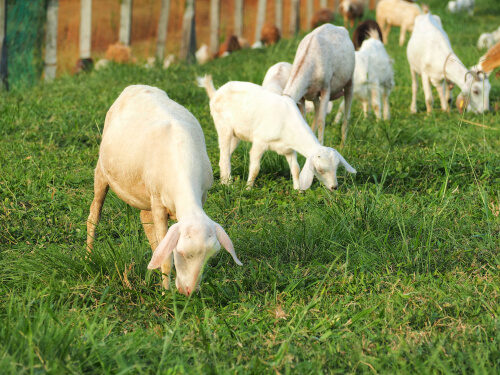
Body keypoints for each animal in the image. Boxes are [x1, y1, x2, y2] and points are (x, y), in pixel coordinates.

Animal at [87, 84, 243, 296]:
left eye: (210, 256)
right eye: (182, 252)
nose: (189, 291)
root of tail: (137, 86)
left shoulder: (200, 196)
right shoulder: (159, 204)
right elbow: (167, 259)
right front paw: (165, 294)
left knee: (145, 219)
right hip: (102, 171)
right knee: (94, 215)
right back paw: (88, 258)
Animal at [197, 75, 358, 191]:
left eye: (337, 167)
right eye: (319, 169)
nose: (334, 187)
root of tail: (216, 93)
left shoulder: (288, 148)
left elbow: (295, 169)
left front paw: (297, 190)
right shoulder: (260, 142)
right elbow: (255, 168)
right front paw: (248, 189)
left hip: (237, 134)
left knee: (225, 154)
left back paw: (224, 180)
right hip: (223, 126)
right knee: (224, 155)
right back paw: (228, 184)